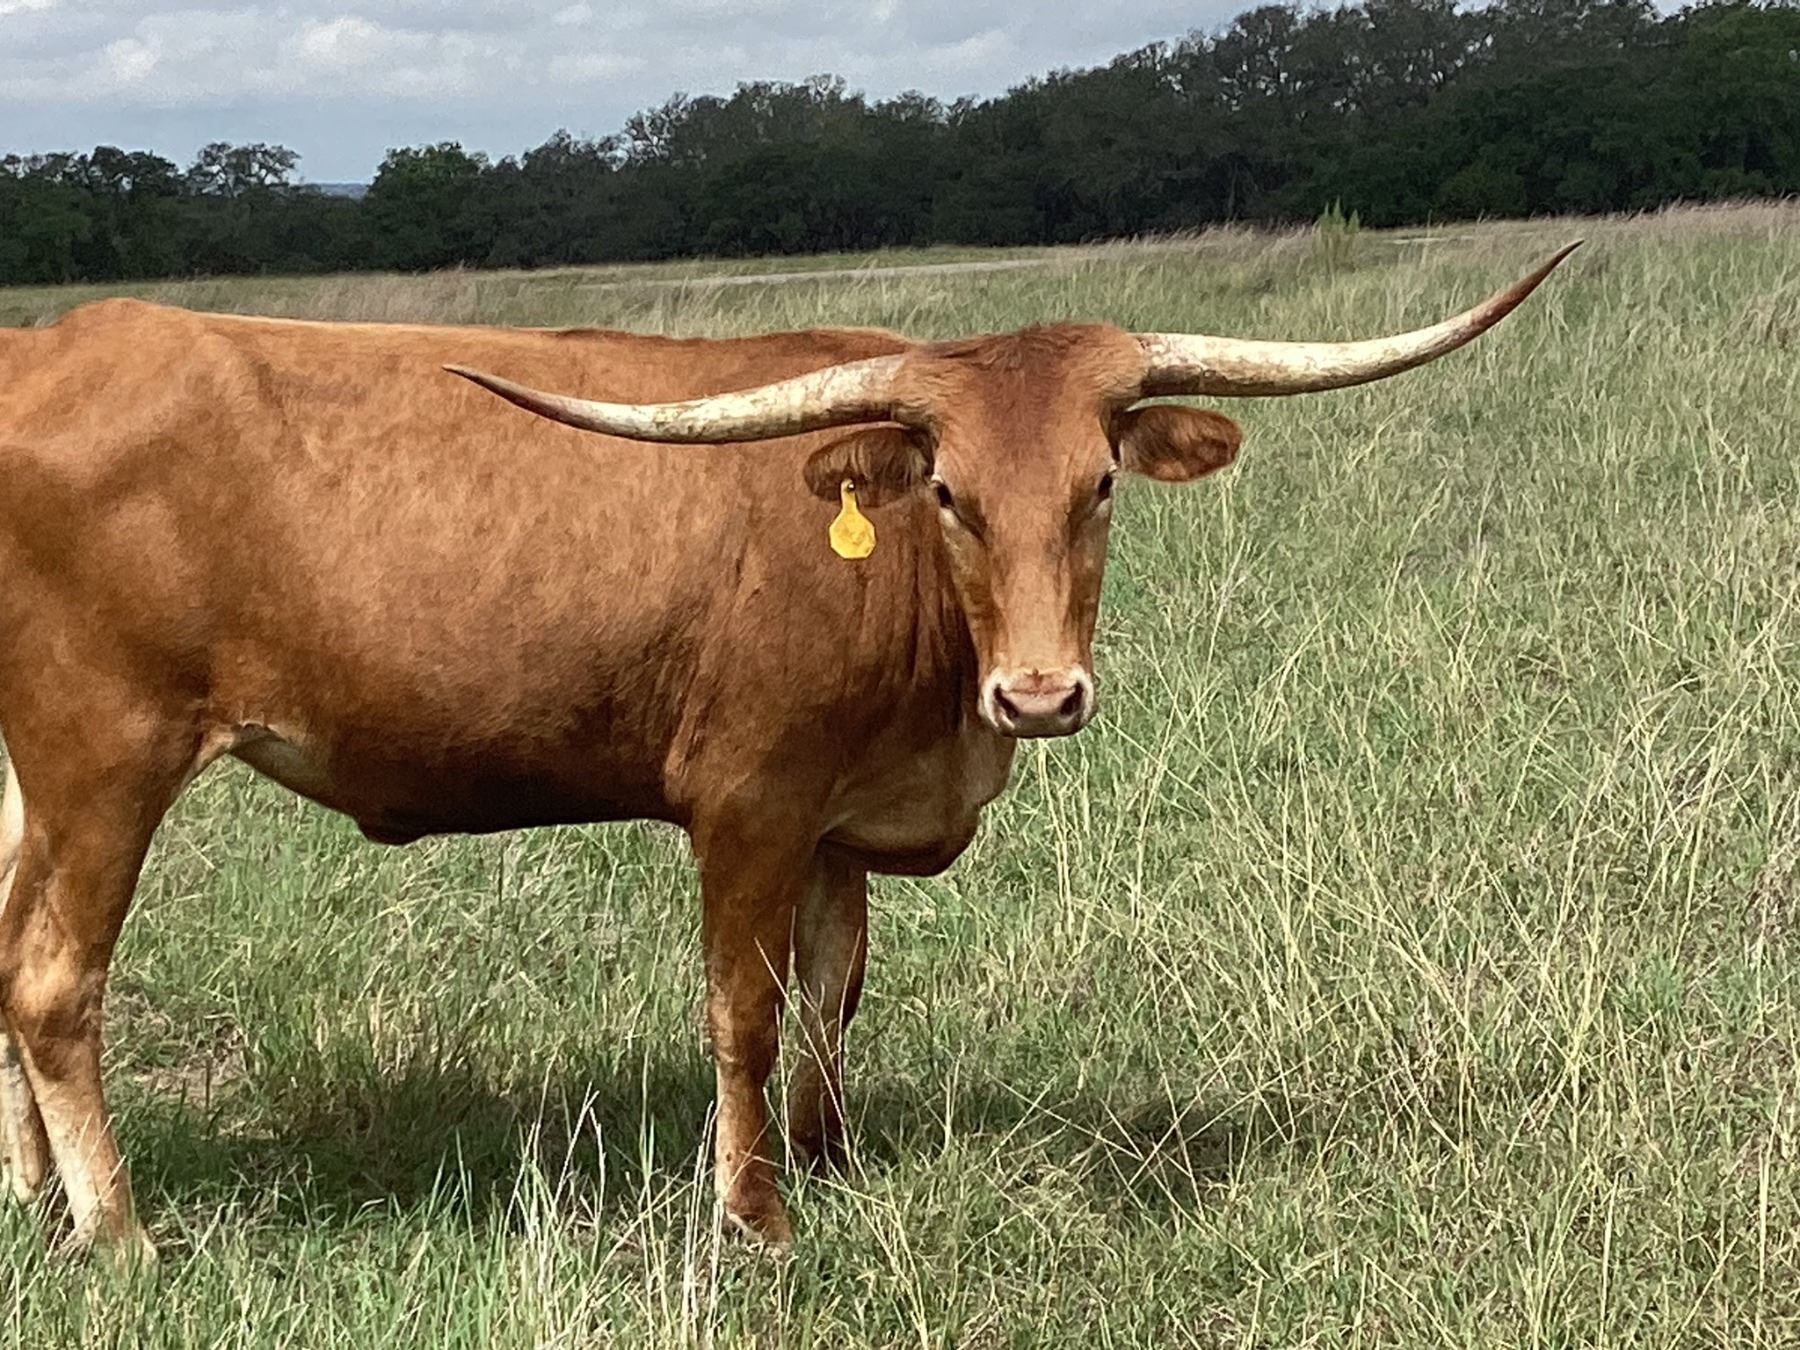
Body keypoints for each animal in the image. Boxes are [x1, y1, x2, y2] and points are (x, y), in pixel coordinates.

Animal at [0, 244, 1576, 1259]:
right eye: (947, 492)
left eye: (1100, 485)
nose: (1041, 695)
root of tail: (52, 345)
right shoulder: (747, 804)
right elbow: (746, 1013)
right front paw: (758, 1216)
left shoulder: (835, 817)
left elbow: (834, 993)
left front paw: (831, 1158)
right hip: (106, 756)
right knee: (55, 983)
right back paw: (121, 1232)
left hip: (29, 778)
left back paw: (30, 1200)